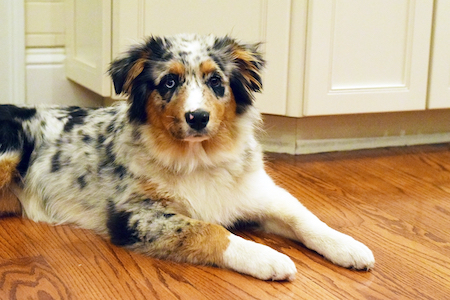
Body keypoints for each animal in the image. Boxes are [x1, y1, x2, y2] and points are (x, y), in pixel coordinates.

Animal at [0, 35, 372, 282]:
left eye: (216, 81)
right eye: (168, 82)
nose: (197, 117)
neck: (198, 158)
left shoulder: (255, 192)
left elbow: (302, 216)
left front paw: (348, 246)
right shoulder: (130, 215)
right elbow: (205, 229)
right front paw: (268, 257)